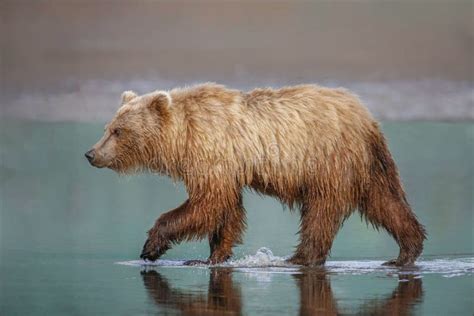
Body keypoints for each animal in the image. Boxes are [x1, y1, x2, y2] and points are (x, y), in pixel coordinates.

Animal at [84, 82, 426, 266]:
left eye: (118, 131)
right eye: (107, 127)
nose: (91, 154)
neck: (182, 138)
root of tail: (367, 117)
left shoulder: (213, 155)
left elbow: (206, 204)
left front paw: (152, 246)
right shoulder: (226, 168)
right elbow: (227, 210)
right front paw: (213, 256)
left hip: (328, 160)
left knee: (321, 211)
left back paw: (299, 258)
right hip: (368, 165)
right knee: (385, 202)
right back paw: (406, 251)